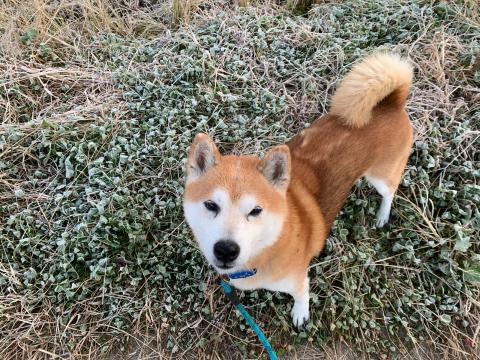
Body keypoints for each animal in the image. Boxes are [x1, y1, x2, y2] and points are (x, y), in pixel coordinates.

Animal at [182, 52, 414, 326]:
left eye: (256, 210)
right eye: (211, 205)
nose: (226, 250)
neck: (269, 245)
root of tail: (391, 103)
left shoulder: (298, 280)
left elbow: (302, 296)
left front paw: (300, 314)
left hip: (381, 176)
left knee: (389, 192)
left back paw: (382, 215)